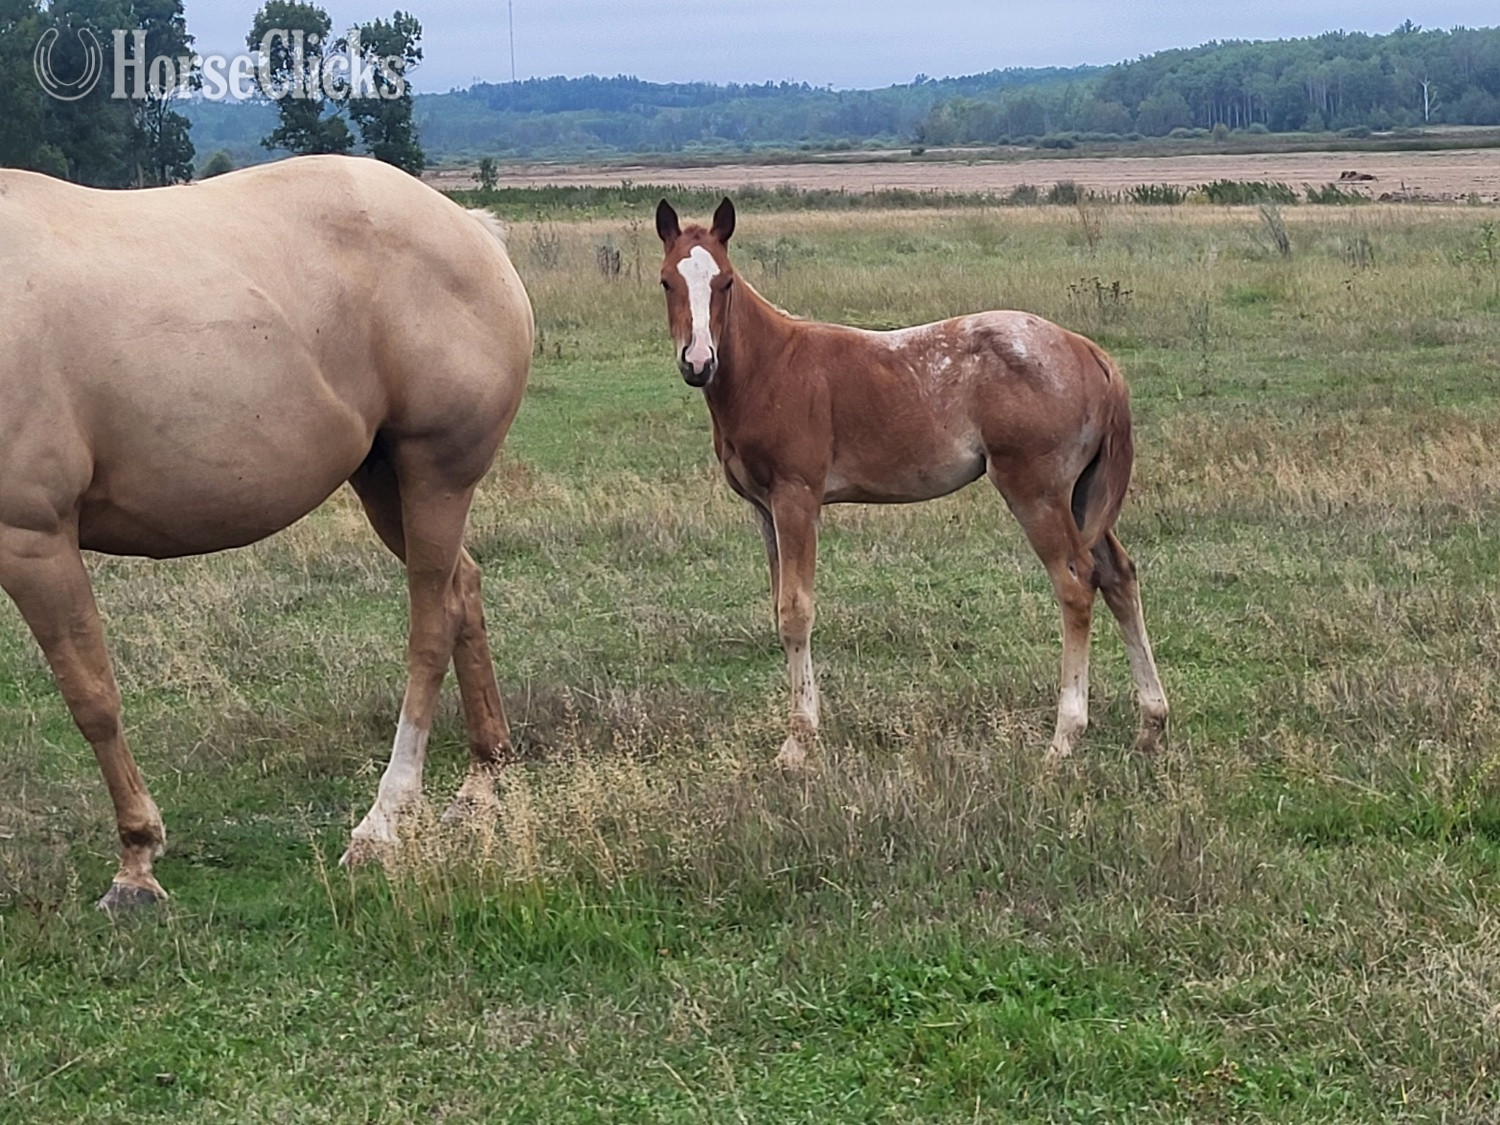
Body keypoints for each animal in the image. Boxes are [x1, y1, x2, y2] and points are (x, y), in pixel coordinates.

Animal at [0, 155, 533, 908]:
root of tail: (471, 230)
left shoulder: (33, 538)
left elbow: (92, 697)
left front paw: (136, 863)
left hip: (435, 476)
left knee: (431, 628)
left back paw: (383, 824)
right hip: (387, 483)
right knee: (465, 593)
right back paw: (483, 784)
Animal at [655, 198, 1168, 768]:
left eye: (723, 282)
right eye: (666, 282)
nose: (698, 362)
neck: (770, 368)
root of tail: (1089, 352)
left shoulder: (797, 498)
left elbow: (795, 612)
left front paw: (797, 743)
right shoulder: (763, 508)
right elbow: (778, 606)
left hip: (1037, 492)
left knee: (1076, 584)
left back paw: (1064, 738)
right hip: (1081, 496)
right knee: (1118, 575)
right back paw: (1150, 726)